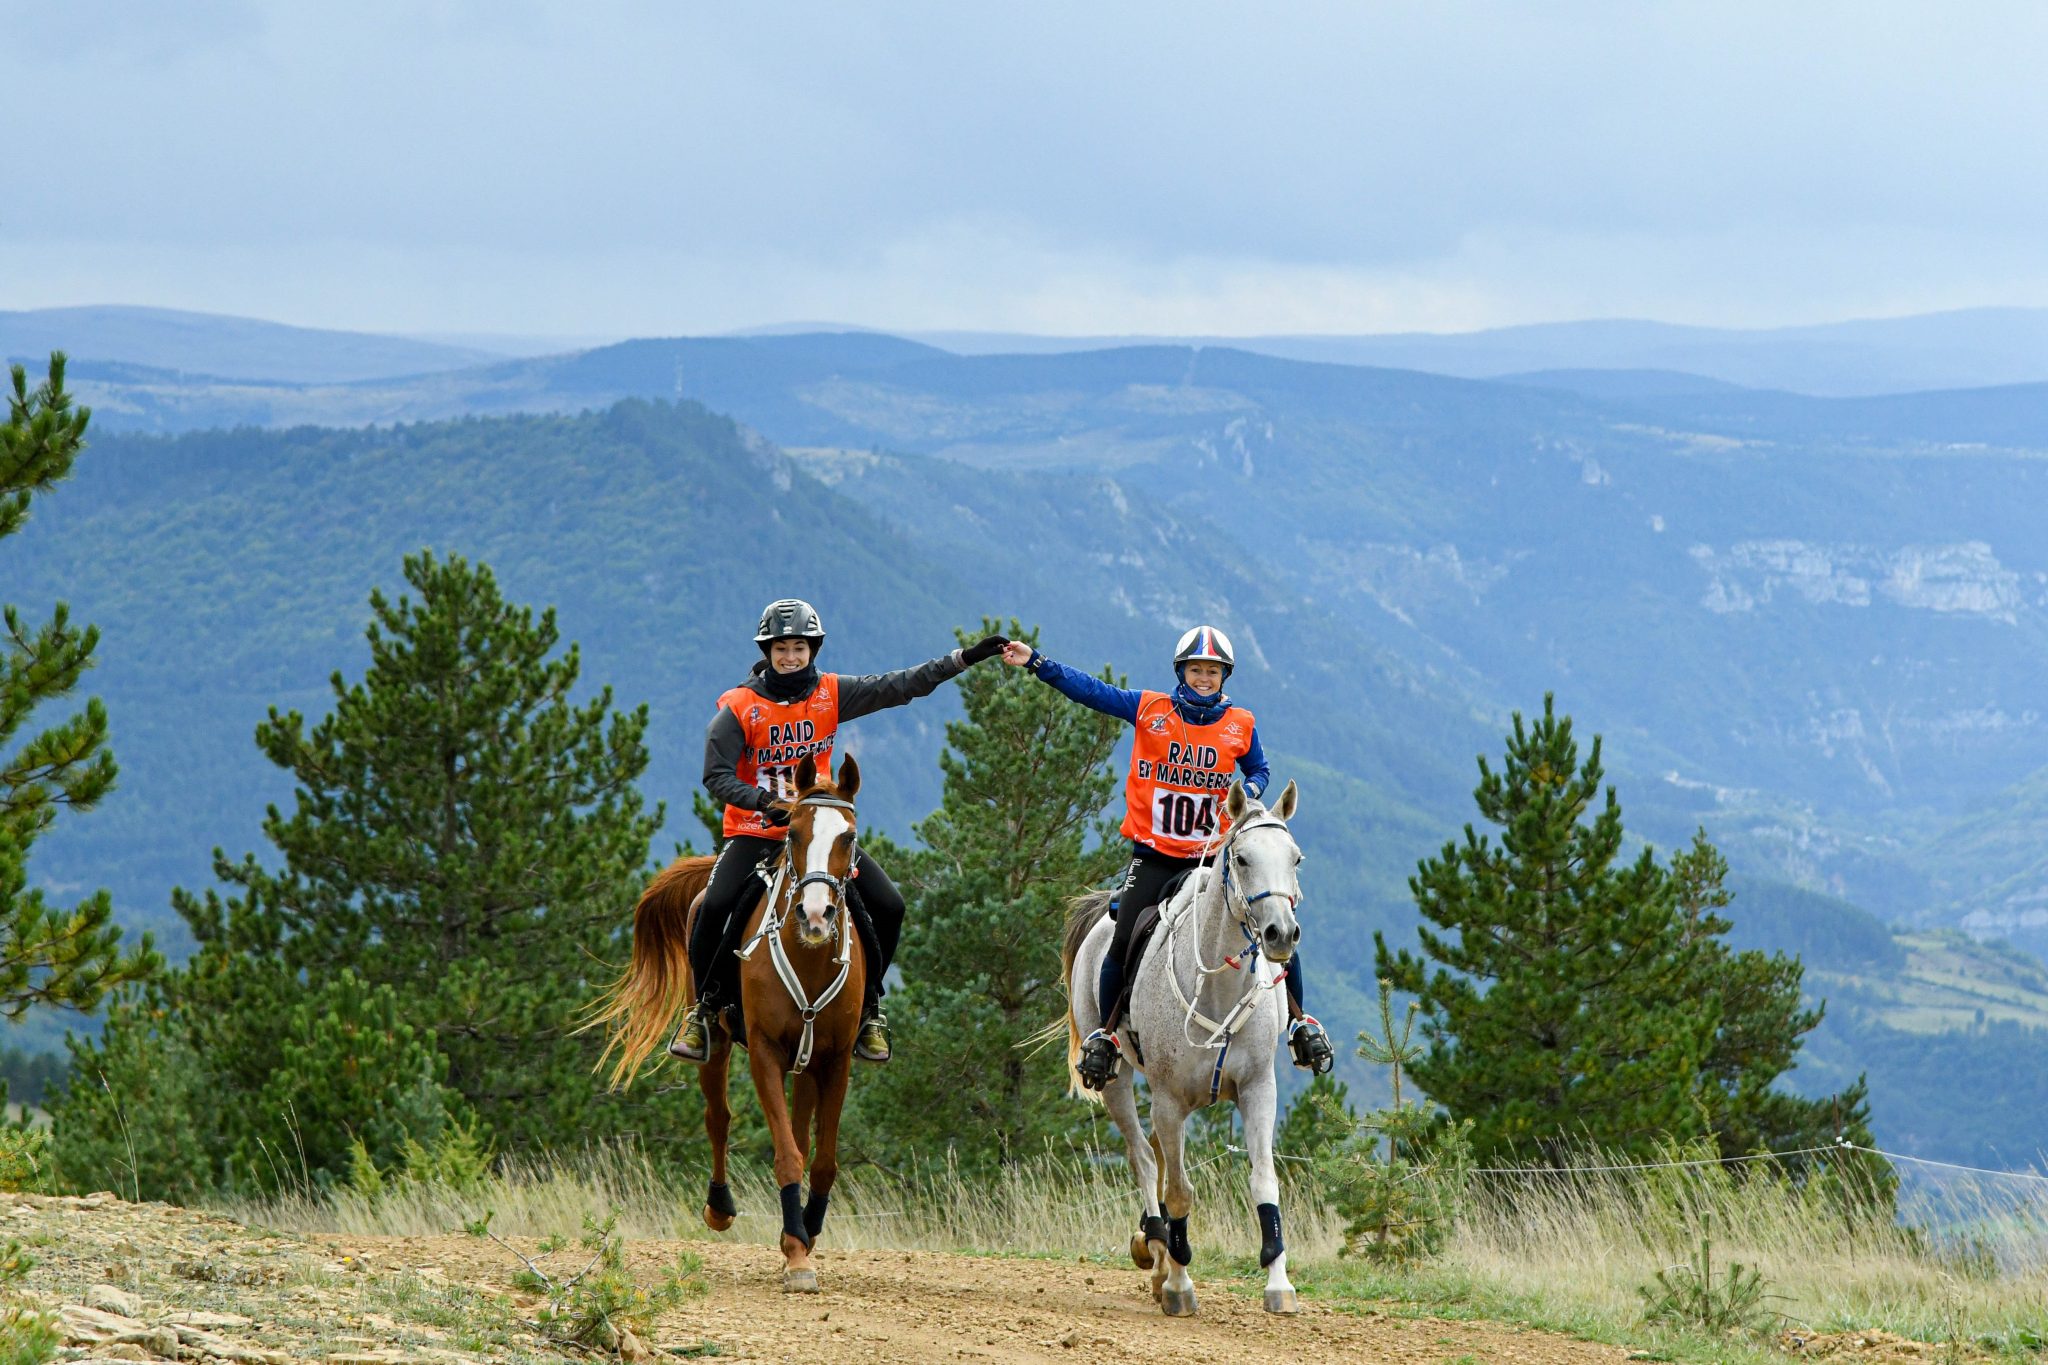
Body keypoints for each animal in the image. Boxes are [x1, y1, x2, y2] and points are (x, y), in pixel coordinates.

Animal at [588, 752, 868, 1294]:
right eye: (793, 832)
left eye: (848, 838)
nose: (816, 915)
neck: (808, 957)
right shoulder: (763, 1051)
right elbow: (785, 1154)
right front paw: (796, 1255)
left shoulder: (835, 1058)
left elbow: (821, 1159)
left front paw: (805, 1233)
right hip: (715, 1042)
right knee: (718, 1118)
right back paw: (719, 1207)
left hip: (805, 1063)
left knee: (799, 1133)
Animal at [1060, 778, 1305, 1317]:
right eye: (1242, 859)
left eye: (1295, 858)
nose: (1280, 934)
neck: (1217, 988)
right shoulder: (1170, 1101)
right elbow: (1178, 1193)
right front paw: (1178, 1284)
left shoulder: (1258, 1089)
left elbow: (1264, 1179)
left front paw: (1278, 1283)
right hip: (1118, 1084)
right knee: (1144, 1158)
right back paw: (1155, 1249)